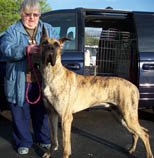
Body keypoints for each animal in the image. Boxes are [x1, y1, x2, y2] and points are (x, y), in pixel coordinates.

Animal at [38, 26, 153, 158]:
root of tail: (134, 86)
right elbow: (53, 139)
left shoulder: (66, 118)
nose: (50, 48)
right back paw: (131, 149)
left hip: (129, 116)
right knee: (136, 134)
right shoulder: (52, 114)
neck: (51, 74)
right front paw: (49, 153)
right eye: (44, 43)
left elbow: (65, 146)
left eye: (56, 44)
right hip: (121, 117)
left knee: (144, 134)